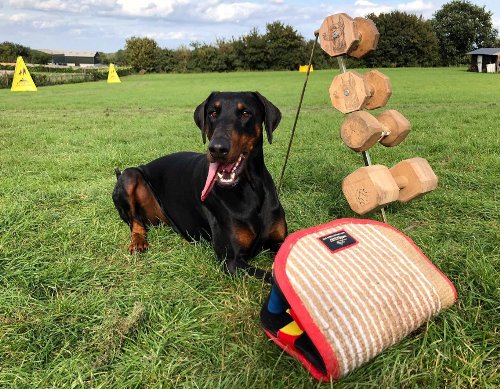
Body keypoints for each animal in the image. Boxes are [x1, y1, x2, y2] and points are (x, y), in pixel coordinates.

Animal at [112, 91, 288, 280]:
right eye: (213, 113)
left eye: (246, 113)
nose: (217, 149)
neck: (251, 188)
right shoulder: (232, 261)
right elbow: (271, 278)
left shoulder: (279, 241)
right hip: (130, 175)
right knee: (135, 221)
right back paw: (138, 242)